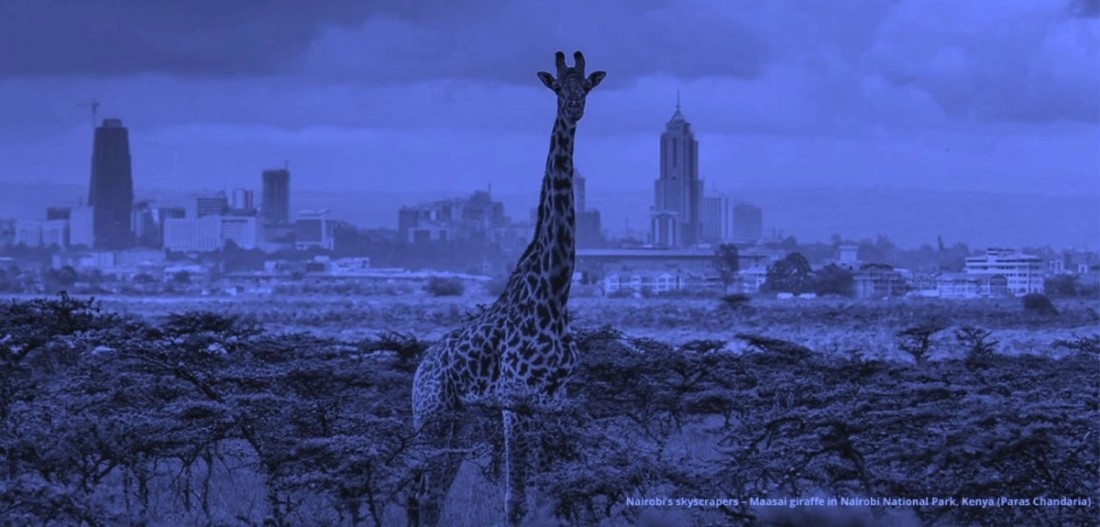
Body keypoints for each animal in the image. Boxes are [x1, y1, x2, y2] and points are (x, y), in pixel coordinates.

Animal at [408, 51, 605, 527]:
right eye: (559, 87)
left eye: (586, 87)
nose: (574, 108)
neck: (554, 291)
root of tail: (419, 369)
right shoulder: (516, 400)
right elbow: (514, 501)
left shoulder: (550, 402)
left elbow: (542, 493)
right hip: (432, 415)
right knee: (422, 494)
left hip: (459, 419)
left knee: (433, 494)